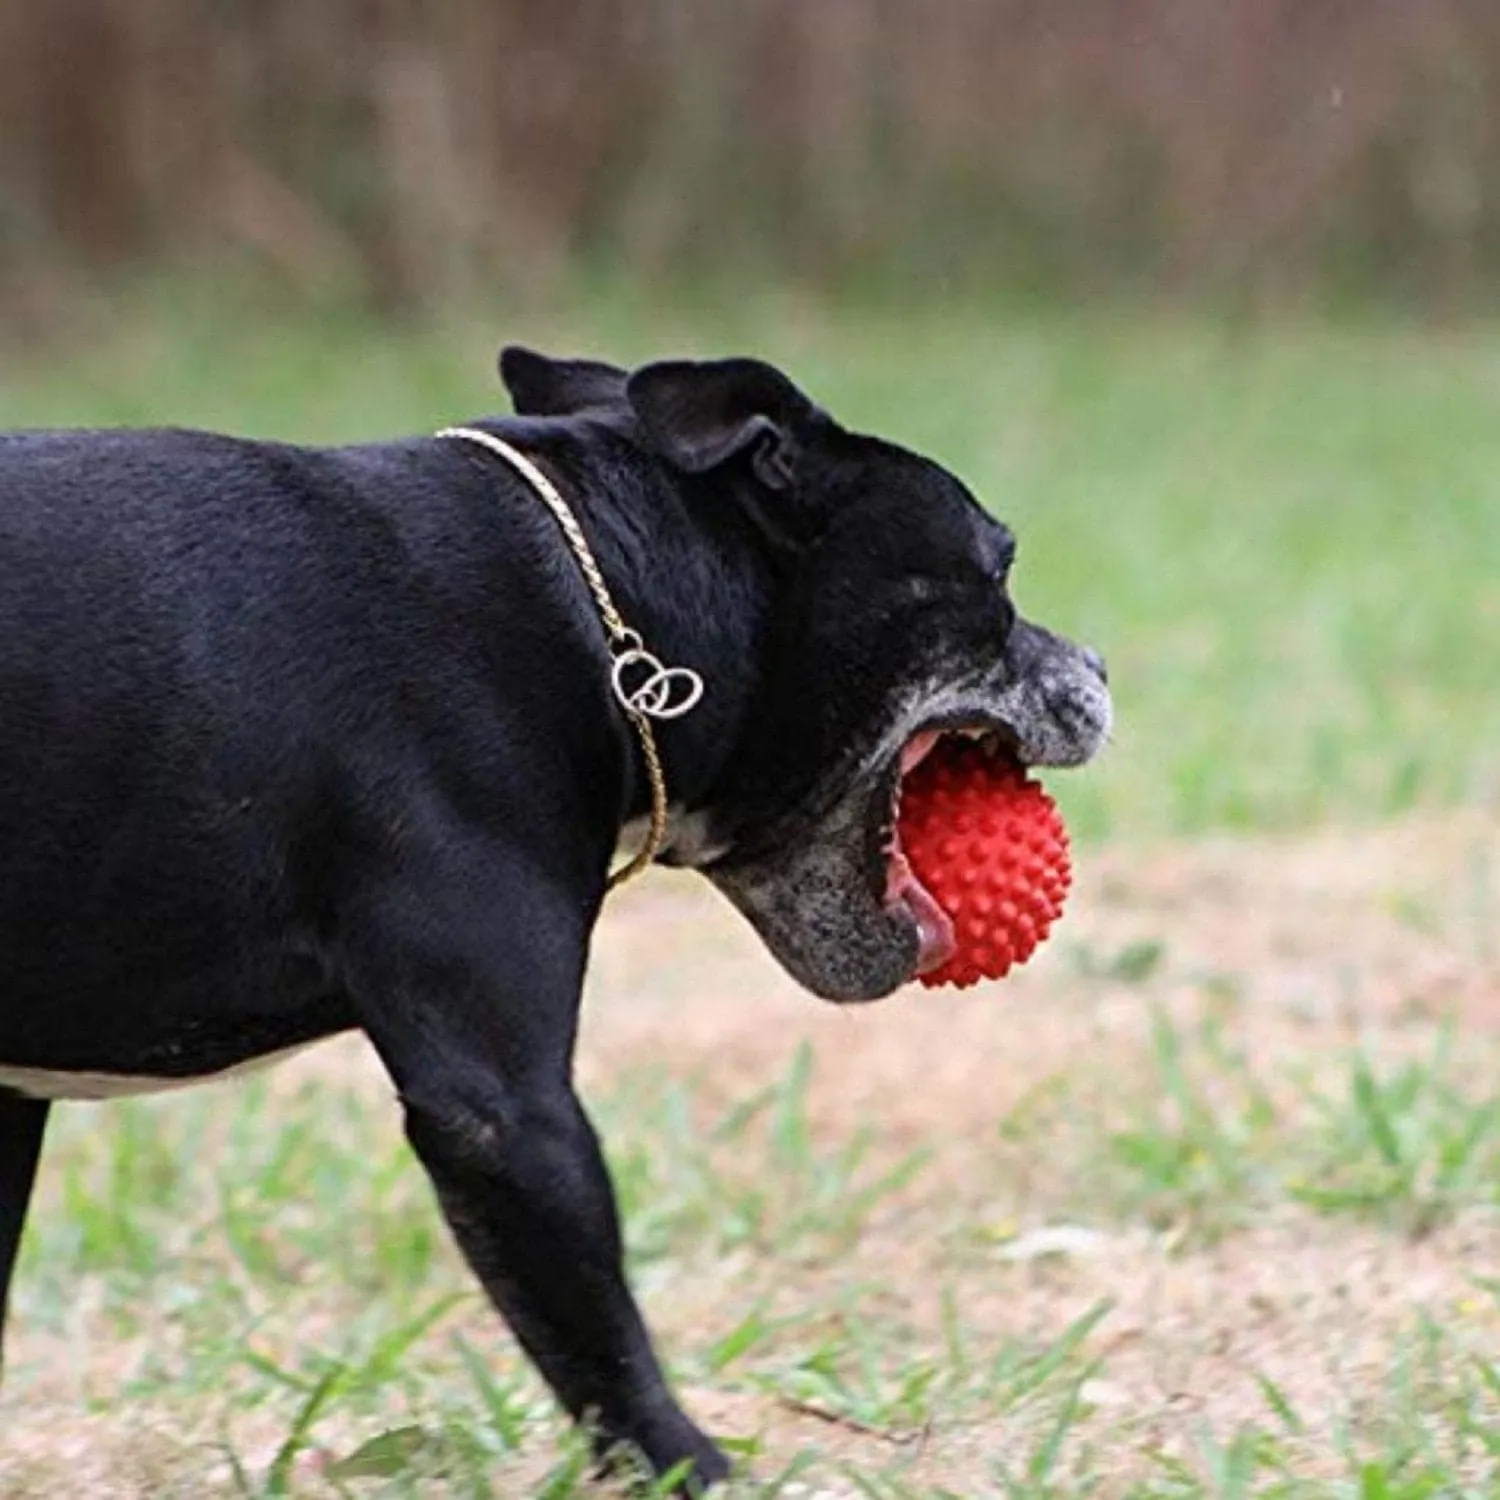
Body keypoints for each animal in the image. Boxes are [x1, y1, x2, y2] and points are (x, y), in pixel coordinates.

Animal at [0, 351, 1104, 1488]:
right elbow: (601, 1342)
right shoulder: (506, 1111)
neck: (597, 607)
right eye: (997, 571)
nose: (1098, 670)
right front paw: (696, 1470)